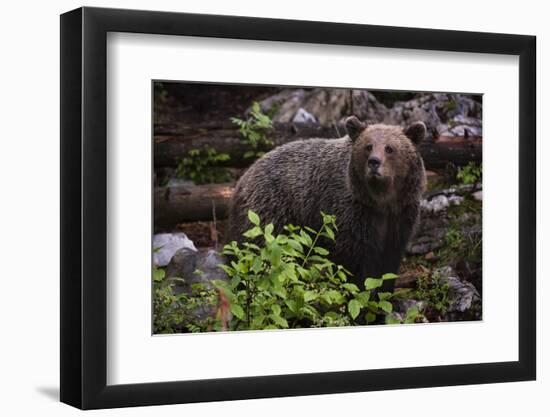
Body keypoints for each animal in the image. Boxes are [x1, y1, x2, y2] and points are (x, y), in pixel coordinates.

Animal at [226, 114, 430, 290]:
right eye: (368, 146)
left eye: (389, 148)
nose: (374, 162)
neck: (381, 201)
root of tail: (244, 177)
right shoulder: (352, 213)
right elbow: (355, 263)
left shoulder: (401, 215)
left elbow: (388, 263)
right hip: (270, 213)